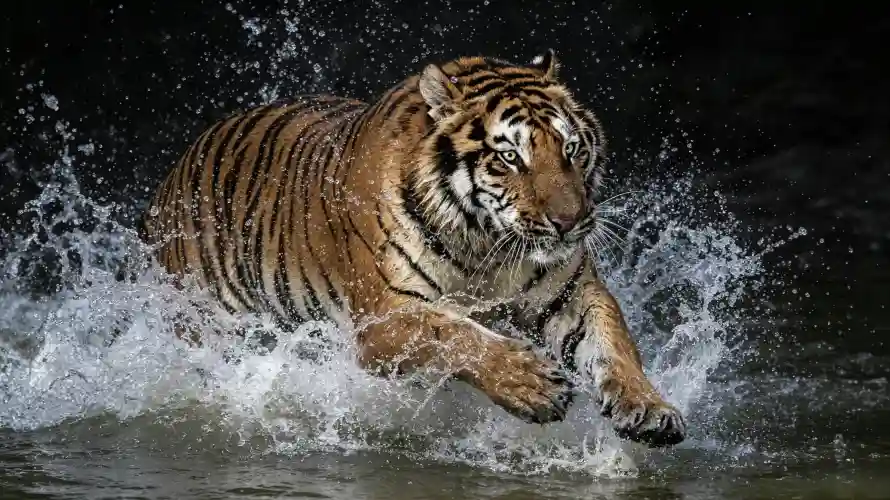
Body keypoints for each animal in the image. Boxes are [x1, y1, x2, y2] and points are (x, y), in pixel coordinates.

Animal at [141, 50, 686, 447]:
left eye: (571, 149)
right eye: (510, 157)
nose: (570, 223)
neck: (486, 245)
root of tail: (173, 175)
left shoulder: (571, 295)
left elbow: (614, 343)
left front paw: (648, 408)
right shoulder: (384, 317)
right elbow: (455, 335)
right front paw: (531, 385)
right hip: (205, 322)